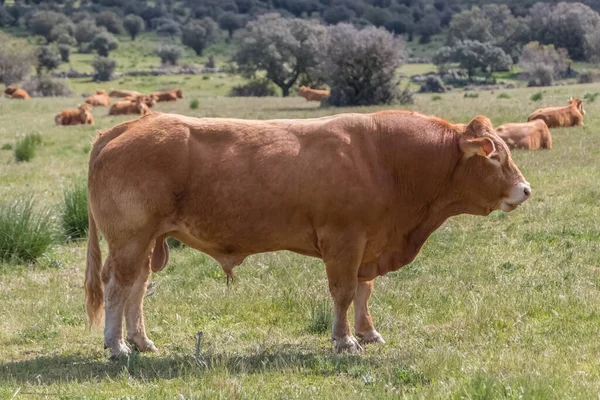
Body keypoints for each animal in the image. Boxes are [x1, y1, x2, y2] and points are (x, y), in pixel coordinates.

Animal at [84, 110, 528, 360]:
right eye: (495, 156)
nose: (525, 190)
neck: (388, 160)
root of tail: (130, 126)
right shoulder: (344, 242)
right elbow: (343, 293)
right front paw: (344, 341)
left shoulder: (368, 246)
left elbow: (364, 291)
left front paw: (367, 332)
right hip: (130, 238)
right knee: (117, 287)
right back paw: (117, 346)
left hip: (146, 242)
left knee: (137, 287)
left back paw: (141, 342)